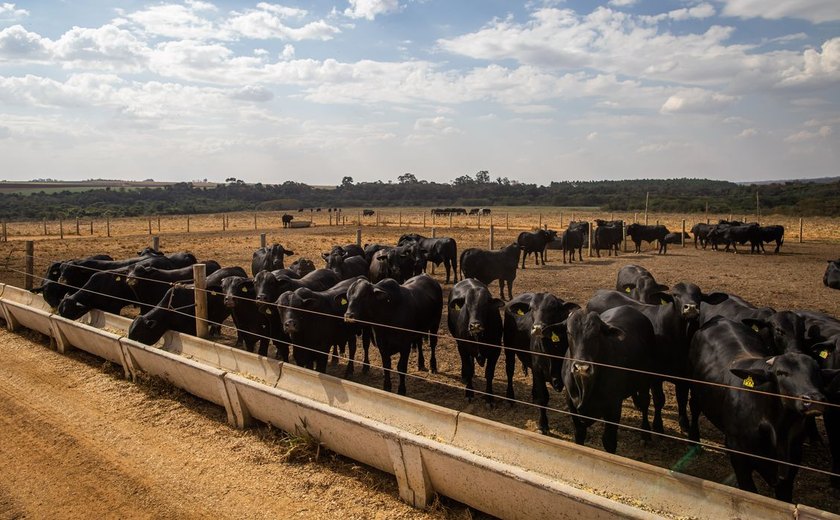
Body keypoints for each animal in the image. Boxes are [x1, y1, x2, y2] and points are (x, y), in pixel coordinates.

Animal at [564, 306, 656, 452]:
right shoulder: (571, 404)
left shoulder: (613, 408)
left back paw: (645, 435)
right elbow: (579, 434)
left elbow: (609, 441)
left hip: (645, 381)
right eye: (569, 332)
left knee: (644, 403)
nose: (582, 367)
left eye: (596, 334)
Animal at [684, 314, 832, 502]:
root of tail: (720, 319)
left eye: (817, 372)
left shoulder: (792, 463)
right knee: (694, 408)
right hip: (695, 389)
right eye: (781, 373)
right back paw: (694, 441)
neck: (777, 429)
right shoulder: (740, 459)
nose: (814, 400)